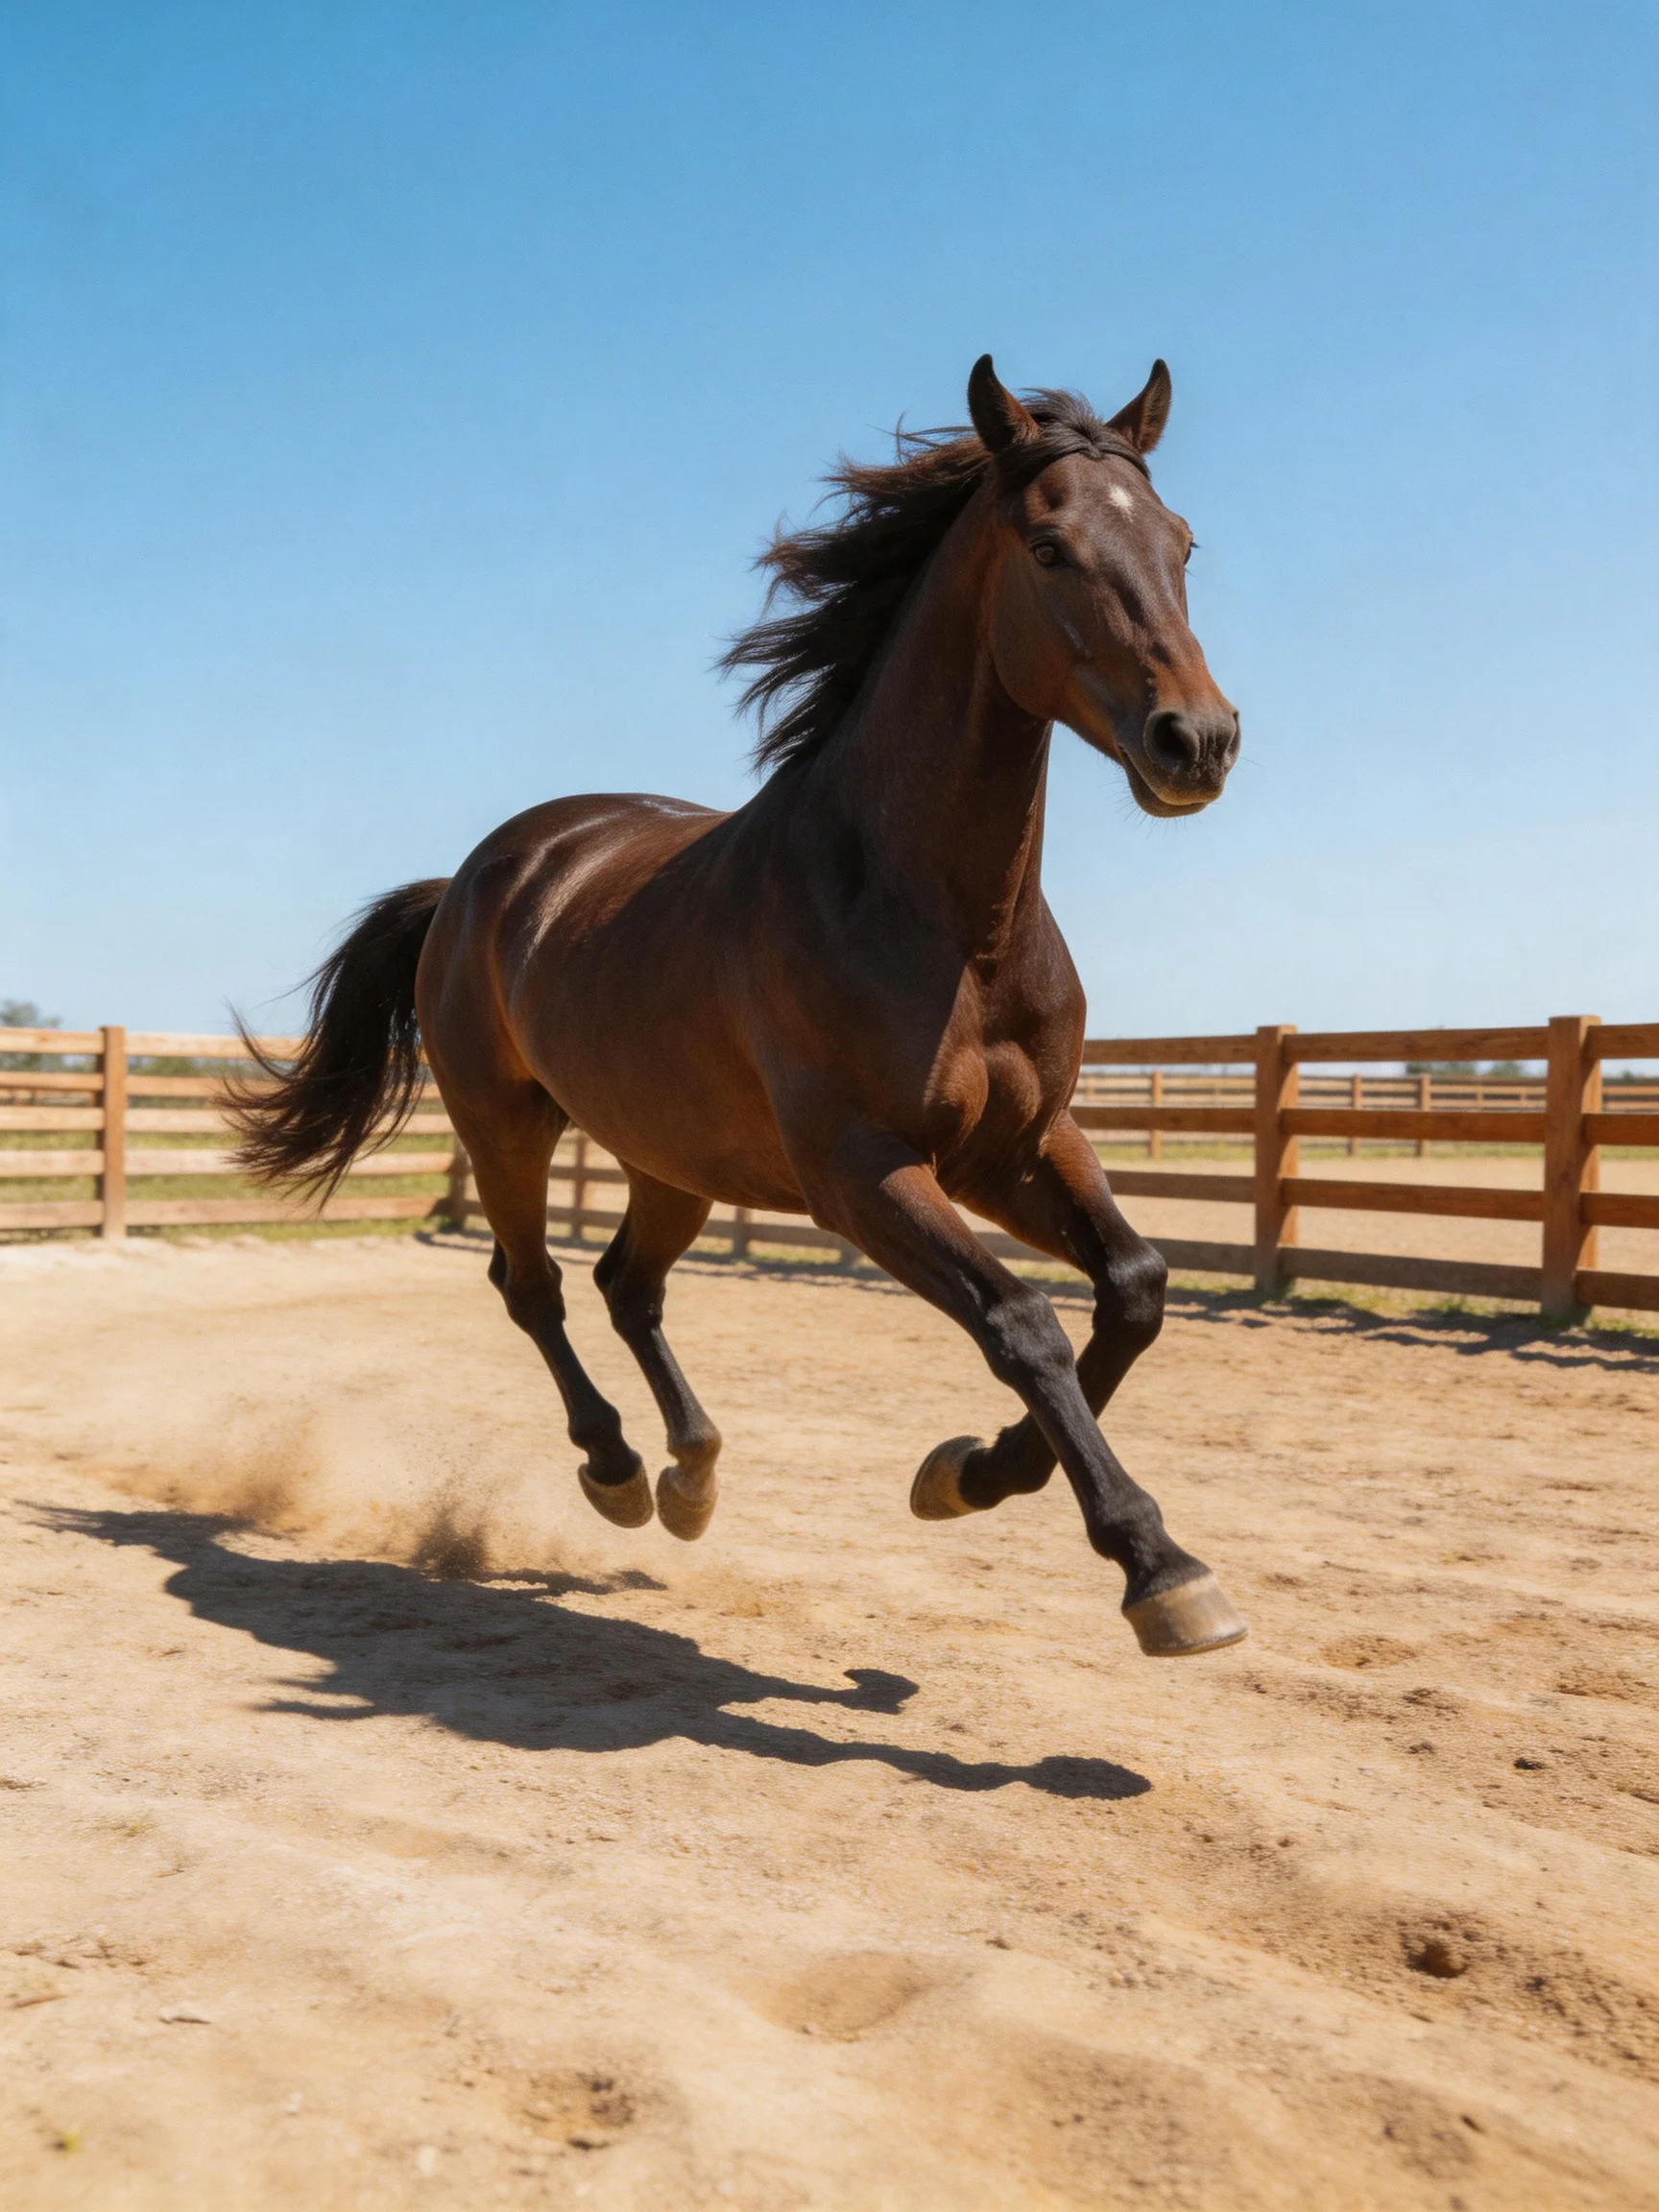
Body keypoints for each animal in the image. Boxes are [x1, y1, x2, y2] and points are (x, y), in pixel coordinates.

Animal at [232, 356, 1247, 1659]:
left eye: (1182, 541)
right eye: (1050, 545)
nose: (1198, 742)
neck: (940, 921)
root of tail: (472, 880)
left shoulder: (1018, 1146)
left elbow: (1134, 1289)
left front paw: (972, 1475)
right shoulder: (863, 1172)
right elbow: (1023, 1323)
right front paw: (1158, 1569)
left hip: (673, 1158)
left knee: (627, 1285)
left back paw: (691, 1475)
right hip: (506, 1128)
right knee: (536, 1286)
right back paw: (617, 1469)